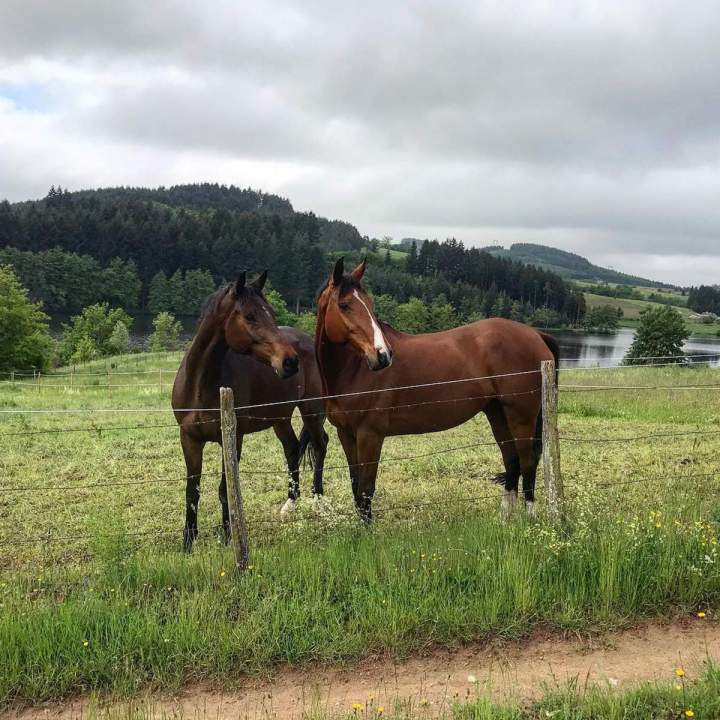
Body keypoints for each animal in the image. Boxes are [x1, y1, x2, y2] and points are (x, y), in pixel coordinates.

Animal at [172, 271, 328, 551]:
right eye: (249, 316)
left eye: (272, 313)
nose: (290, 362)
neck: (200, 384)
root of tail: (308, 342)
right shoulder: (189, 439)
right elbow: (192, 490)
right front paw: (188, 542)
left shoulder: (233, 437)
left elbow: (226, 489)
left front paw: (228, 536)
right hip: (280, 417)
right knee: (292, 449)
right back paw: (290, 504)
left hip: (311, 410)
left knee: (320, 445)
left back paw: (319, 502)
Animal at [314, 257, 559, 521]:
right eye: (344, 305)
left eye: (370, 304)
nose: (383, 355)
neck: (353, 371)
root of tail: (537, 334)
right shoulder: (346, 434)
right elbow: (356, 487)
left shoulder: (370, 435)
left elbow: (366, 489)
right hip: (498, 413)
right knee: (512, 459)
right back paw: (505, 518)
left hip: (521, 416)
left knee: (527, 461)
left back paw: (530, 517)